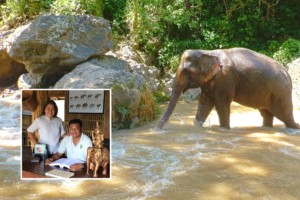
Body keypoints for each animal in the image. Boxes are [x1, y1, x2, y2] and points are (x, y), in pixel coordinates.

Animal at [158, 47, 298, 129]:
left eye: (187, 72)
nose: (158, 129)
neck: (208, 51)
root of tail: (288, 73)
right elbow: (205, 101)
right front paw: (197, 127)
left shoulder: (225, 77)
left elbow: (221, 102)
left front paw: (224, 129)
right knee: (266, 114)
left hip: (280, 91)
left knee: (284, 114)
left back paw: (295, 127)